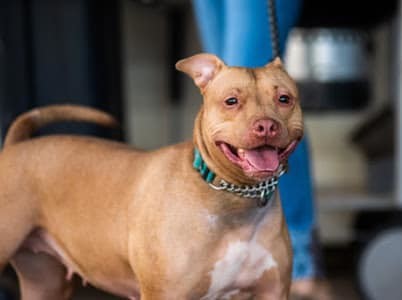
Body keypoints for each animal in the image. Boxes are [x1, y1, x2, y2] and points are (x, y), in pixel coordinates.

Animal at [0, 54, 302, 300]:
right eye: (231, 101)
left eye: (284, 99)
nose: (266, 126)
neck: (234, 197)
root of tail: (15, 145)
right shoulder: (165, 293)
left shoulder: (273, 291)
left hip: (44, 282)